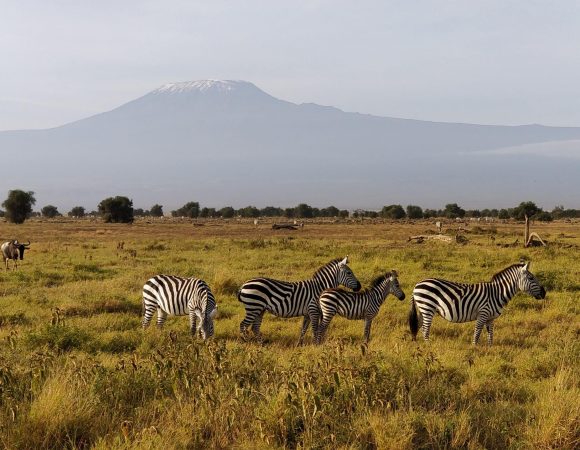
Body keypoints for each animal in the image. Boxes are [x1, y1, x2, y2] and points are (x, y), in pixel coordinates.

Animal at [406, 260, 548, 344]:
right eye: (531, 278)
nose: (544, 293)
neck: (497, 293)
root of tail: (417, 285)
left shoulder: (490, 318)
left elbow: (490, 334)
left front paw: (490, 349)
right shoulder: (483, 313)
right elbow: (478, 332)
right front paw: (474, 348)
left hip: (422, 309)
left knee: (418, 325)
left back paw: (416, 345)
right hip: (428, 307)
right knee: (425, 328)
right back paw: (427, 346)